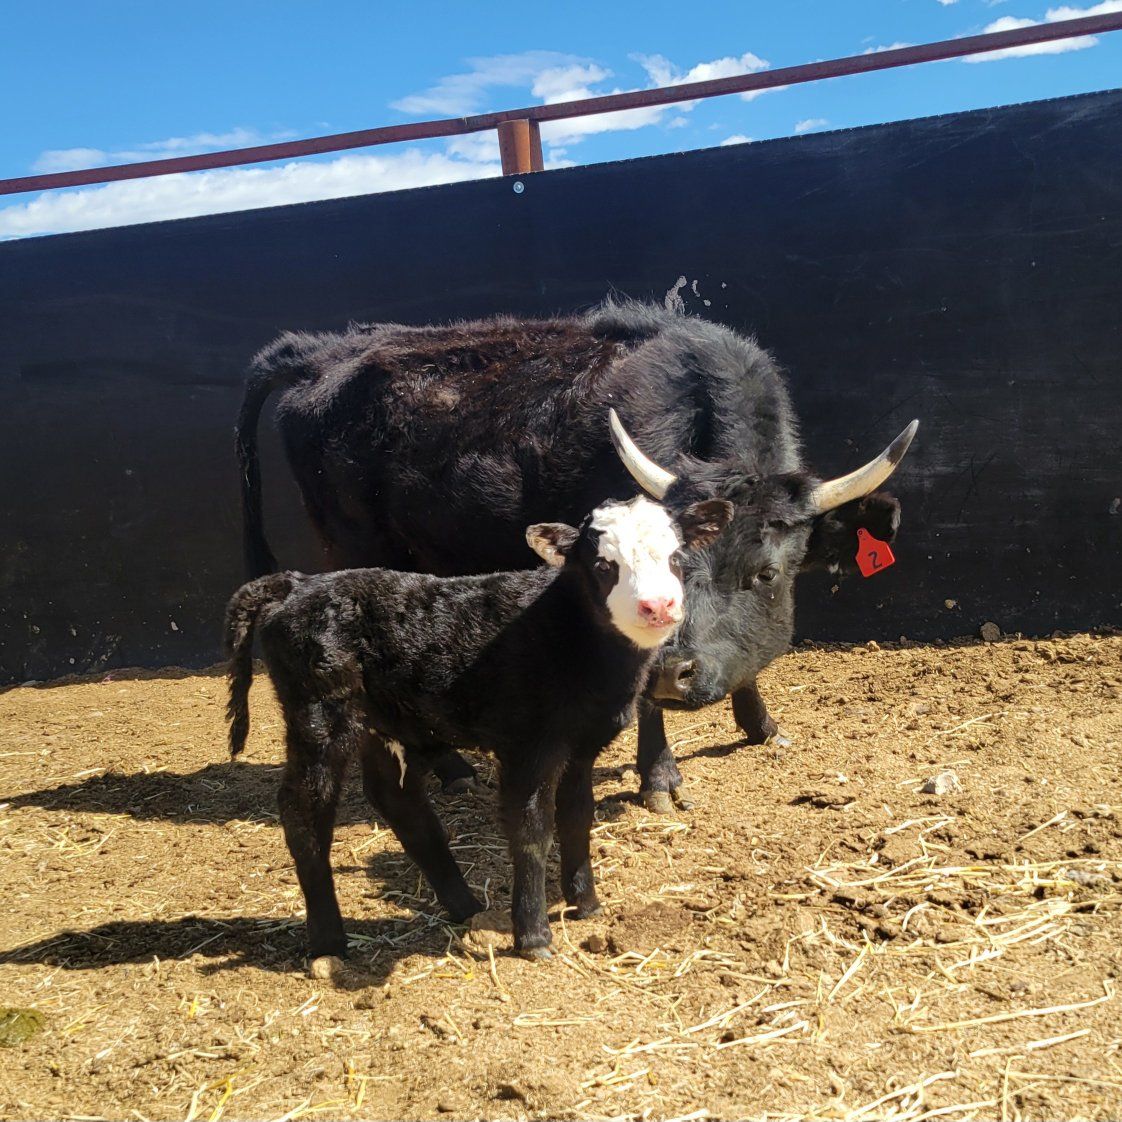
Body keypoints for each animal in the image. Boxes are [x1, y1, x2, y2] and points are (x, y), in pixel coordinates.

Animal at [225, 487, 733, 958]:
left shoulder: (581, 745)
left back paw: (464, 905)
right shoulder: (528, 746)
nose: (658, 606)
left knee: (396, 798)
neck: (568, 634)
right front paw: (533, 936)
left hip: (382, 721)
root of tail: (296, 584)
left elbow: (576, 817)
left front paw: (586, 904)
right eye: (603, 565)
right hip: (318, 715)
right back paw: (329, 941)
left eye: (676, 557)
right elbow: (531, 829)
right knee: (303, 809)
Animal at [236, 300, 917, 813]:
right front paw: (660, 779)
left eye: (766, 573)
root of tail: (321, 353)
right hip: (354, 545)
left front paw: (759, 725)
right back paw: (450, 766)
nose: (674, 673)